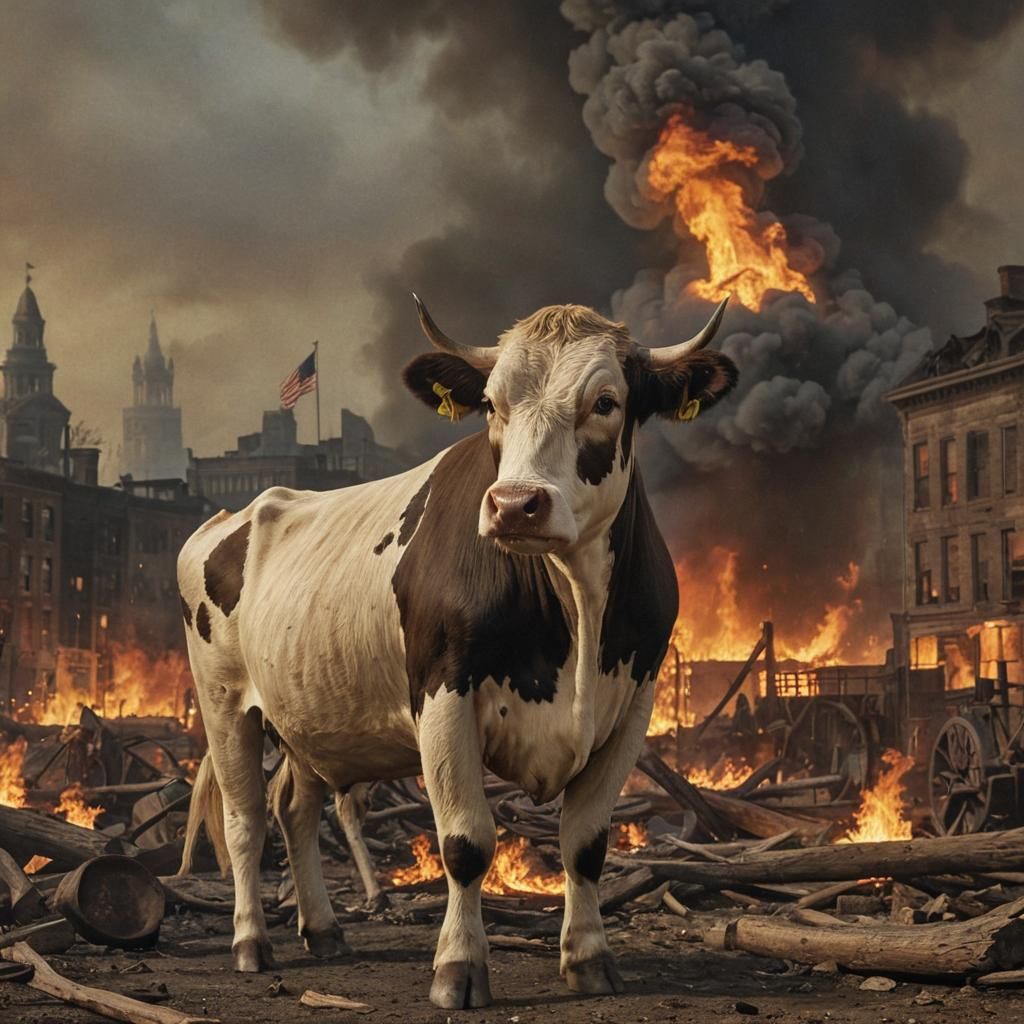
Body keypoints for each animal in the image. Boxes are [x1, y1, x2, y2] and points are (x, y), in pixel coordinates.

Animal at [176, 296, 737, 1009]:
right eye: (492, 404)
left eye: (606, 401)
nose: (516, 504)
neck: (575, 601)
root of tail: (241, 511)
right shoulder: (443, 694)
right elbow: (465, 843)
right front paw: (458, 968)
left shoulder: (633, 707)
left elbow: (586, 844)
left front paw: (589, 959)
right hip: (225, 703)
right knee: (246, 817)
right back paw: (251, 941)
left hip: (307, 714)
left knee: (294, 810)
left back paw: (324, 930)